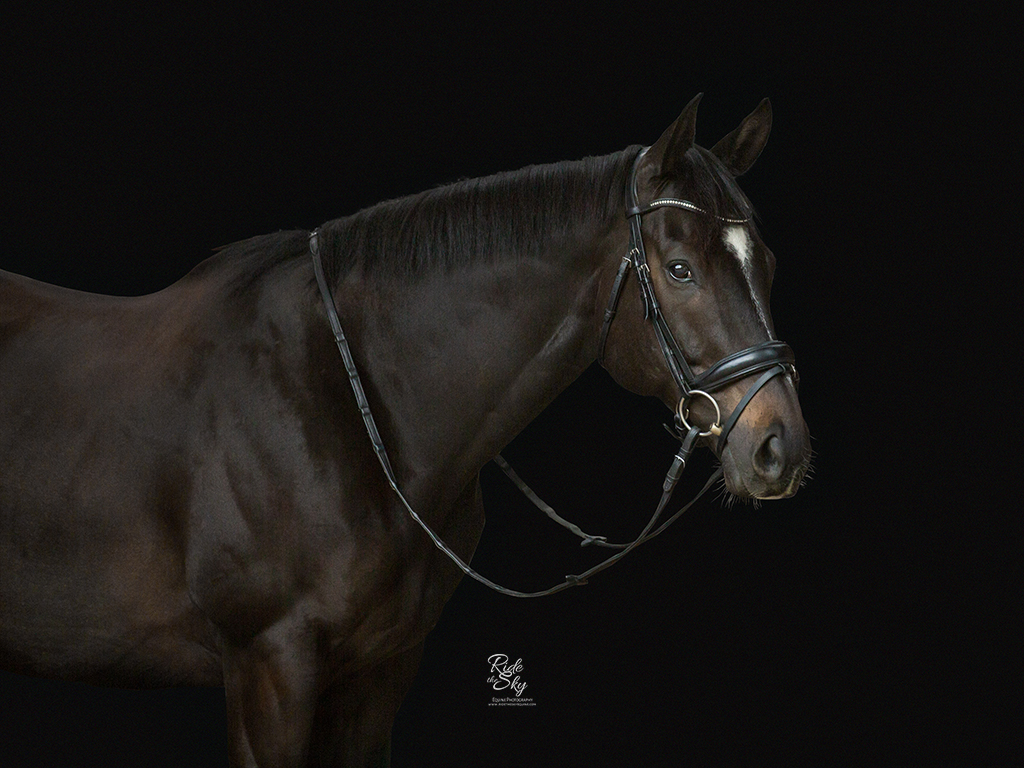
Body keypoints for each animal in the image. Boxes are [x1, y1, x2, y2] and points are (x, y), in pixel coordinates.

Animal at [4, 97, 811, 768]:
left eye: (768, 263)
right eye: (679, 269)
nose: (781, 447)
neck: (341, 404)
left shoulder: (378, 673)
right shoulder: (269, 668)